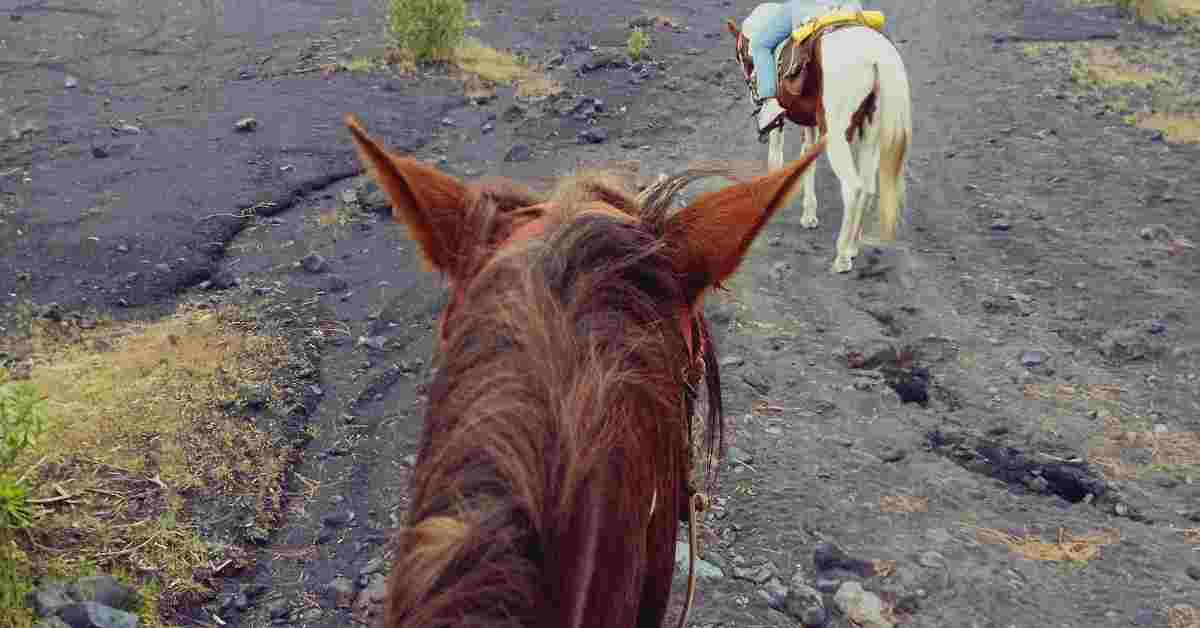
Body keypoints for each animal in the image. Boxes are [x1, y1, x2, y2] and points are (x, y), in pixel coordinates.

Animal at [726, 14, 912, 274]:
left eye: (740, 54)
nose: (749, 82)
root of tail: (875, 56)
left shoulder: (778, 122)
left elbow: (775, 157)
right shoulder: (811, 125)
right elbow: (807, 163)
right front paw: (809, 215)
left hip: (836, 136)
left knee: (853, 188)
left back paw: (842, 256)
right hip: (870, 133)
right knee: (867, 187)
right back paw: (852, 246)